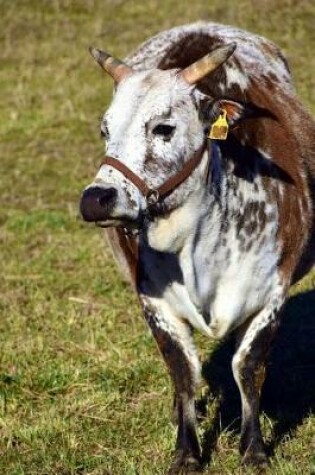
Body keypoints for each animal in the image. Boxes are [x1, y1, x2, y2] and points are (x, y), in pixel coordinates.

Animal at [80, 21, 314, 472]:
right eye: (105, 130)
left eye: (163, 128)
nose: (96, 198)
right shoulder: (154, 302)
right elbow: (183, 370)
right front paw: (186, 452)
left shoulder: (272, 294)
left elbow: (248, 368)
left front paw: (253, 450)